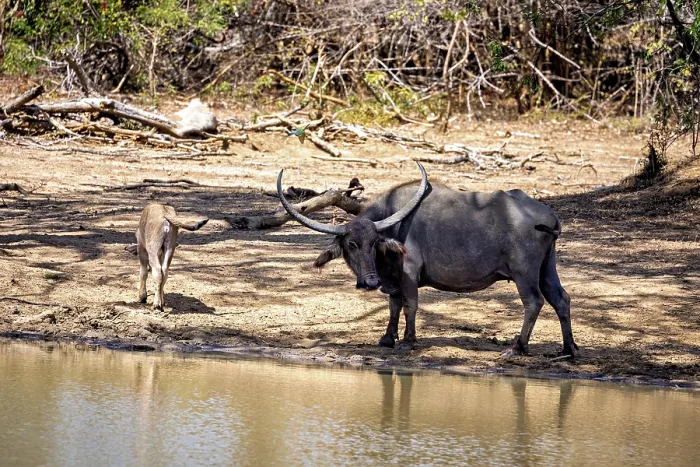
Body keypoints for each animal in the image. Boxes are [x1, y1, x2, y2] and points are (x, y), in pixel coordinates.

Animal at [276, 162, 577, 357]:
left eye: (374, 243)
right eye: (351, 244)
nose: (370, 282)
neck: (393, 224)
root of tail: (549, 216)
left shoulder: (408, 274)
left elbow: (410, 305)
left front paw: (408, 341)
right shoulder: (393, 280)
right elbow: (393, 305)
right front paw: (387, 338)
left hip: (524, 274)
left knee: (534, 302)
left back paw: (518, 347)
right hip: (547, 268)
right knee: (561, 298)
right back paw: (569, 348)